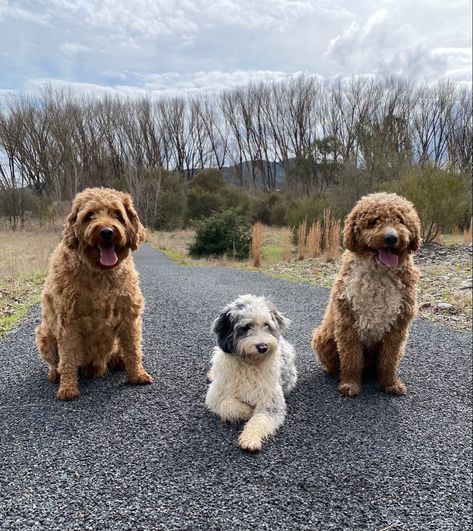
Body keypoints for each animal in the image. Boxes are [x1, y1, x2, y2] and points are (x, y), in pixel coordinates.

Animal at [35, 187, 153, 400]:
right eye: (89, 215)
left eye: (117, 214)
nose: (107, 232)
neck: (100, 273)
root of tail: (96, 366)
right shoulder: (68, 322)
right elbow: (68, 359)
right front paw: (68, 388)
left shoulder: (129, 315)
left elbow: (133, 349)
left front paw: (137, 374)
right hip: (43, 334)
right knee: (57, 362)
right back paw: (55, 374)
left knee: (123, 352)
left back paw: (121, 363)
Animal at [205, 296, 296, 454]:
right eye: (246, 326)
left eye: (267, 325)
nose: (263, 347)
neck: (250, 363)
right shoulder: (215, 395)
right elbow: (228, 403)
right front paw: (248, 411)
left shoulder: (271, 399)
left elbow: (260, 418)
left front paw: (250, 438)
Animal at [312, 193, 418, 396]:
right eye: (374, 221)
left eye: (400, 220)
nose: (391, 238)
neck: (379, 273)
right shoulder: (348, 322)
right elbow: (351, 359)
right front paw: (350, 384)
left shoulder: (398, 327)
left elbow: (389, 360)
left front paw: (390, 384)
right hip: (324, 337)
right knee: (335, 364)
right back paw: (337, 374)